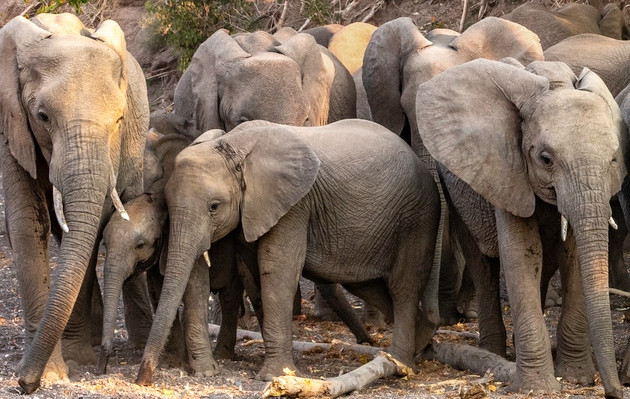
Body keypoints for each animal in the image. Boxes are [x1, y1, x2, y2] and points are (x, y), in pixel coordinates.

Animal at [0, 14, 149, 396]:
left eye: (119, 120)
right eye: (42, 116)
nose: (24, 383)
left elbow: (92, 226)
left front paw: (75, 360)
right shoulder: (10, 127)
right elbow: (27, 223)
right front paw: (53, 373)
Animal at [418, 57, 628, 398]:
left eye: (613, 159)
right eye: (545, 159)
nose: (614, 392)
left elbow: (573, 258)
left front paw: (575, 379)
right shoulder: (506, 170)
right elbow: (520, 254)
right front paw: (539, 386)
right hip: (458, 185)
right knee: (483, 264)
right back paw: (493, 354)